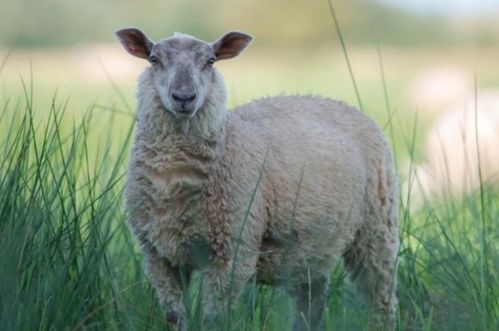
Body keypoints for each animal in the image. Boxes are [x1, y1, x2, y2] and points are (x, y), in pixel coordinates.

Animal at [116, 27, 398, 330]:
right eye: (154, 59)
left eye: (211, 61)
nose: (184, 97)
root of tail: (334, 101)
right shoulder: (158, 256)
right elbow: (174, 317)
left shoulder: (233, 254)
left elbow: (214, 319)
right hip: (313, 247)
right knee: (310, 304)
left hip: (377, 230)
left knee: (382, 298)